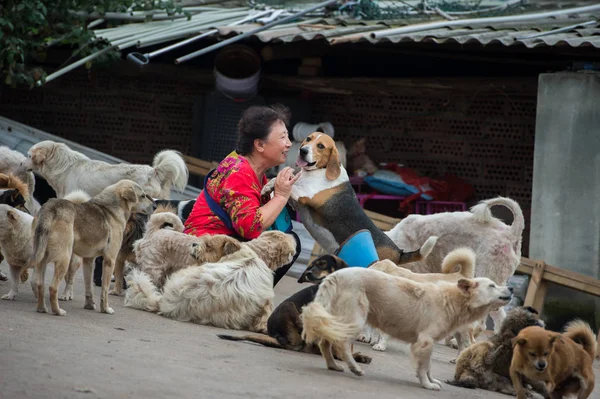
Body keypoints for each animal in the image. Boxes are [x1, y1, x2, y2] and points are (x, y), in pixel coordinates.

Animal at [29, 180, 155, 316]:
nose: (155, 207)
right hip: (65, 259)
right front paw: (105, 309)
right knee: (53, 287)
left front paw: (89, 305)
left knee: (40, 285)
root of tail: (50, 208)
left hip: (42, 259)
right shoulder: (110, 260)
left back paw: (42, 308)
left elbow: (89, 287)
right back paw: (57, 311)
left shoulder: (88, 260)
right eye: (143, 196)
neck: (113, 209)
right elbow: (104, 289)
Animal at [264, 133, 434, 268]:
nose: (303, 150)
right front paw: (268, 187)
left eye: (320, 146)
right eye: (308, 139)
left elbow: (290, 186)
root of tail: (399, 252)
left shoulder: (305, 196)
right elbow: (281, 181)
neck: (321, 170)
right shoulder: (297, 203)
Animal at [300, 268, 510, 392]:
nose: (512, 290)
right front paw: (427, 384)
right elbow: (424, 367)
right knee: (342, 344)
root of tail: (336, 275)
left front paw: (430, 380)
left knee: (325, 341)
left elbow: (428, 366)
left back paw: (333, 366)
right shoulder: (425, 341)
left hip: (337, 320)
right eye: (492, 285)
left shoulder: (427, 344)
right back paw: (355, 368)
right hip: (355, 320)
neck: (453, 299)